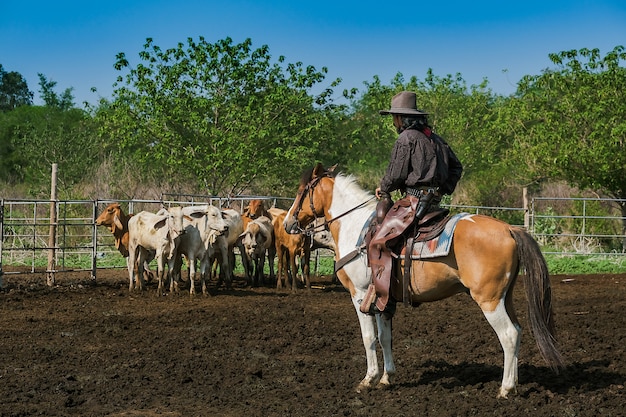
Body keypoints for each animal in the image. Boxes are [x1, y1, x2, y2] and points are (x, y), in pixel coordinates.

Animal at [282, 162, 560, 396]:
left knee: (509, 335)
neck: (355, 227)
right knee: (518, 331)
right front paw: (387, 378)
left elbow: (369, 339)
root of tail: (510, 229)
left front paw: (368, 379)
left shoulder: (360, 295)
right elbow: (385, 338)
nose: (287, 223)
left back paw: (505, 389)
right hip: (505, 297)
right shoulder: (382, 298)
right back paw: (514, 384)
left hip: (489, 300)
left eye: (301, 191)